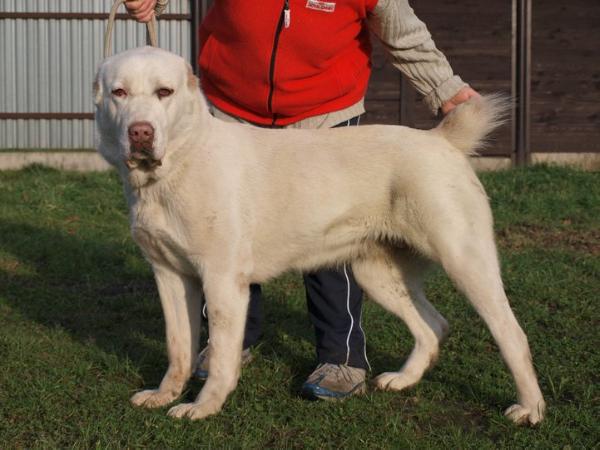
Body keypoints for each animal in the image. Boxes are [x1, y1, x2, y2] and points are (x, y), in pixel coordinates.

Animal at [92, 46, 544, 426]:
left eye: (164, 92)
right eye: (119, 93)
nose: (141, 132)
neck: (177, 166)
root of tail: (440, 139)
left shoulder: (221, 282)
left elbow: (219, 355)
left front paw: (203, 407)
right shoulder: (170, 277)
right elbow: (178, 348)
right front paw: (164, 395)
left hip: (465, 262)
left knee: (512, 334)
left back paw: (530, 409)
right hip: (377, 276)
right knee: (434, 325)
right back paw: (403, 379)